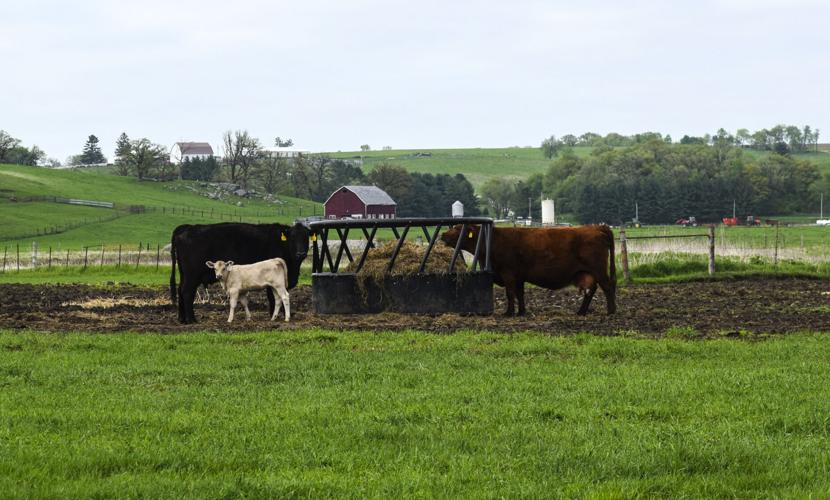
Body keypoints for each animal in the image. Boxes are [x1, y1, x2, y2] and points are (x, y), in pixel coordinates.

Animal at [170, 222, 309, 324]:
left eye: (306, 237)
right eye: (293, 237)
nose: (301, 253)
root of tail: (188, 227)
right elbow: (272, 297)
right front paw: (278, 315)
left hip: (184, 274)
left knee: (180, 290)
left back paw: (182, 319)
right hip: (191, 276)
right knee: (187, 292)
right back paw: (191, 320)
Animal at [441, 224, 616, 317]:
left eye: (457, 229)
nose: (442, 235)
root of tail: (596, 227)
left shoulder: (508, 273)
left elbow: (510, 293)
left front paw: (509, 312)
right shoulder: (519, 277)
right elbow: (520, 294)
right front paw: (521, 312)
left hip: (599, 270)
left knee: (607, 287)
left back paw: (611, 311)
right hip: (588, 273)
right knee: (591, 290)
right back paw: (581, 311)